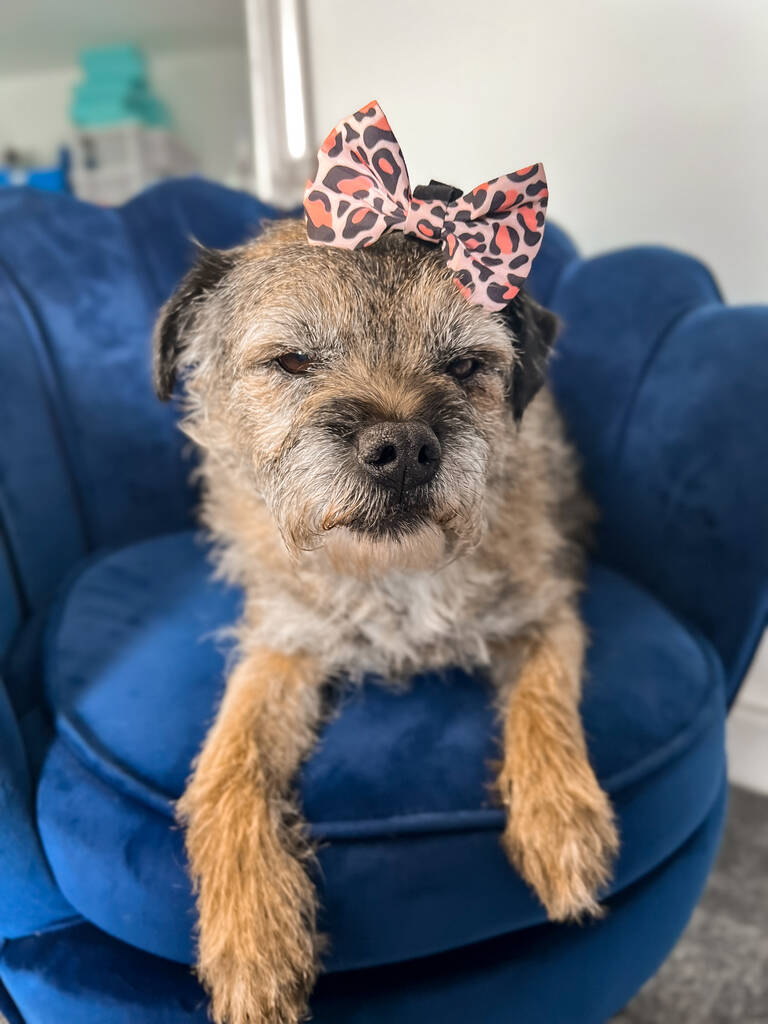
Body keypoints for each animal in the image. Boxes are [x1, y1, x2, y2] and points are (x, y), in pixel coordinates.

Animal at [151, 101, 618, 1024]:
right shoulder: (282, 646)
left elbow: (544, 701)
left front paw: (563, 824)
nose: (403, 446)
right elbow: (224, 770)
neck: (392, 574)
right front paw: (251, 935)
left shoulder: (543, 611)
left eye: (466, 365)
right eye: (293, 360)